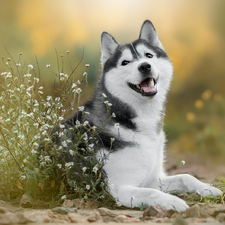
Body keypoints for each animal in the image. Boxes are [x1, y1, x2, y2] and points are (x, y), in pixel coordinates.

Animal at [56, 20, 221, 212]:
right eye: (125, 62)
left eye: (148, 55)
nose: (144, 66)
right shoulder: (120, 189)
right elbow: (152, 193)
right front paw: (173, 201)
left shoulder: (152, 179)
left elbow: (185, 176)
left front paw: (207, 188)